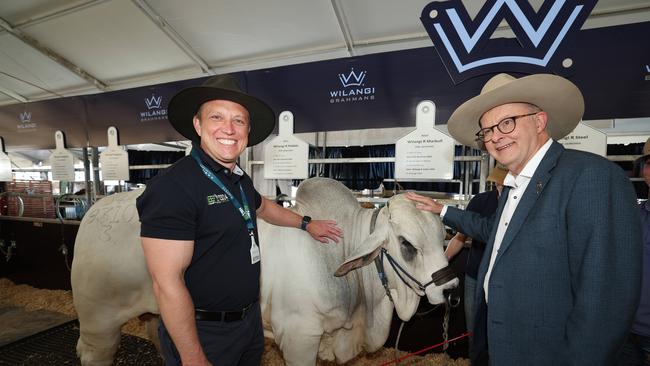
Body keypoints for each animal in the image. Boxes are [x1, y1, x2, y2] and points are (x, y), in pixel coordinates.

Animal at [71, 178, 456, 366]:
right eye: (406, 244)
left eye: (443, 236)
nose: (450, 288)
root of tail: (94, 212)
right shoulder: (299, 338)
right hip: (98, 320)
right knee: (93, 353)